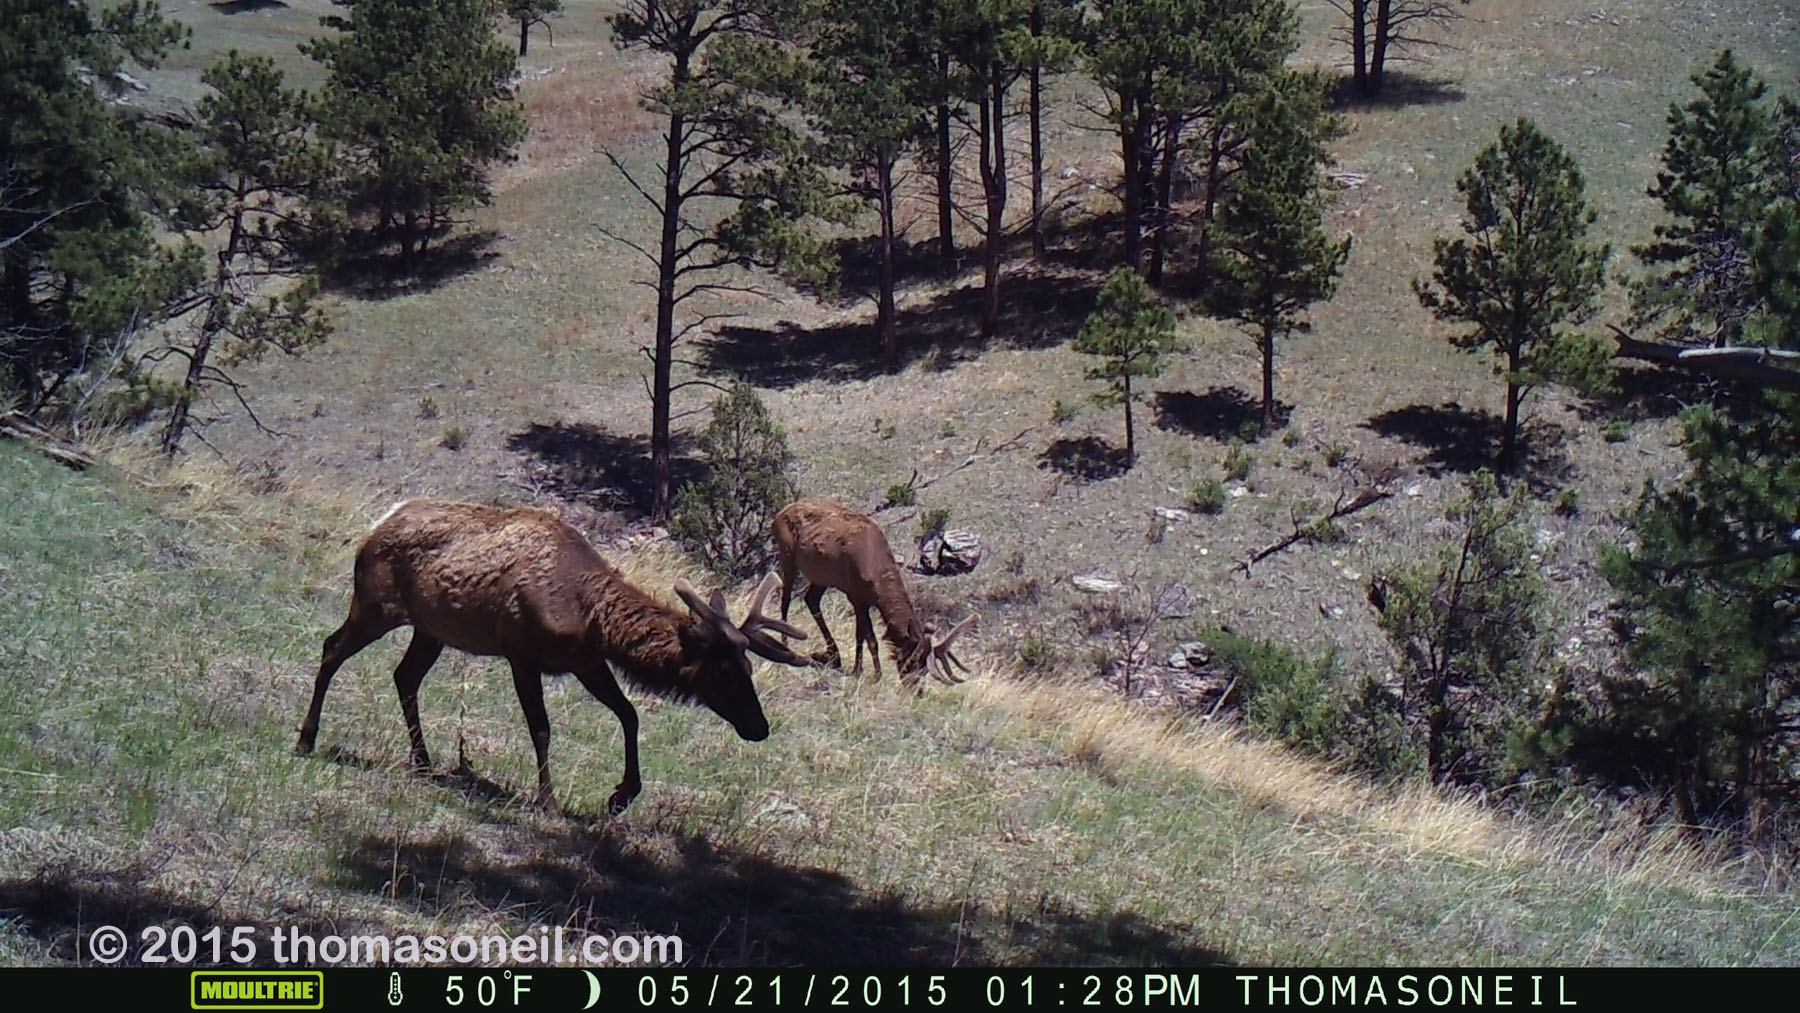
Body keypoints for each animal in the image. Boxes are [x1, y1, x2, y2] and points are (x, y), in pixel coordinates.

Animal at [294, 499, 812, 816]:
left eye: (749, 667)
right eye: (721, 672)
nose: (759, 727)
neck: (587, 615)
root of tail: (373, 528)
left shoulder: (587, 661)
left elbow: (629, 714)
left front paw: (621, 795)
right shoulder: (521, 654)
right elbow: (541, 728)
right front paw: (548, 800)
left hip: (430, 628)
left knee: (404, 676)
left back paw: (422, 761)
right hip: (375, 605)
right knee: (331, 648)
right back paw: (305, 739)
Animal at [772, 498, 977, 687]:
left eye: (925, 668)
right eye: (913, 659)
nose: (914, 689)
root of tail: (779, 515)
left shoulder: (862, 599)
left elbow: (862, 635)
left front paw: (862, 670)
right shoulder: (855, 595)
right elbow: (868, 637)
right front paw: (871, 674)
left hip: (821, 577)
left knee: (811, 599)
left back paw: (833, 655)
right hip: (787, 554)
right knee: (785, 599)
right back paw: (786, 644)